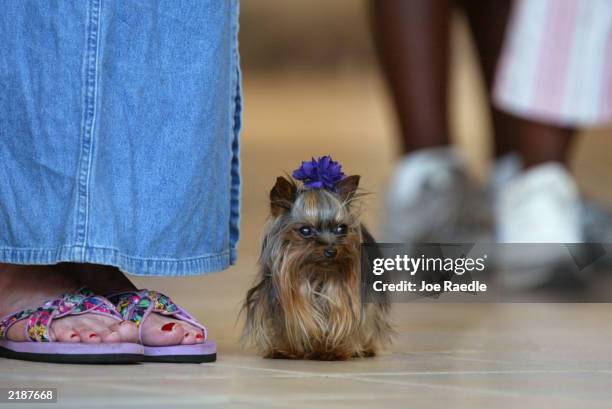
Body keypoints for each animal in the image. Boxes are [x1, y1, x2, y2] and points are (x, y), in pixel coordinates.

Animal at [240, 157, 392, 360]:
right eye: (305, 230)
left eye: (341, 228)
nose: (331, 251)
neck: (316, 274)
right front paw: (285, 348)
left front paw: (333, 349)